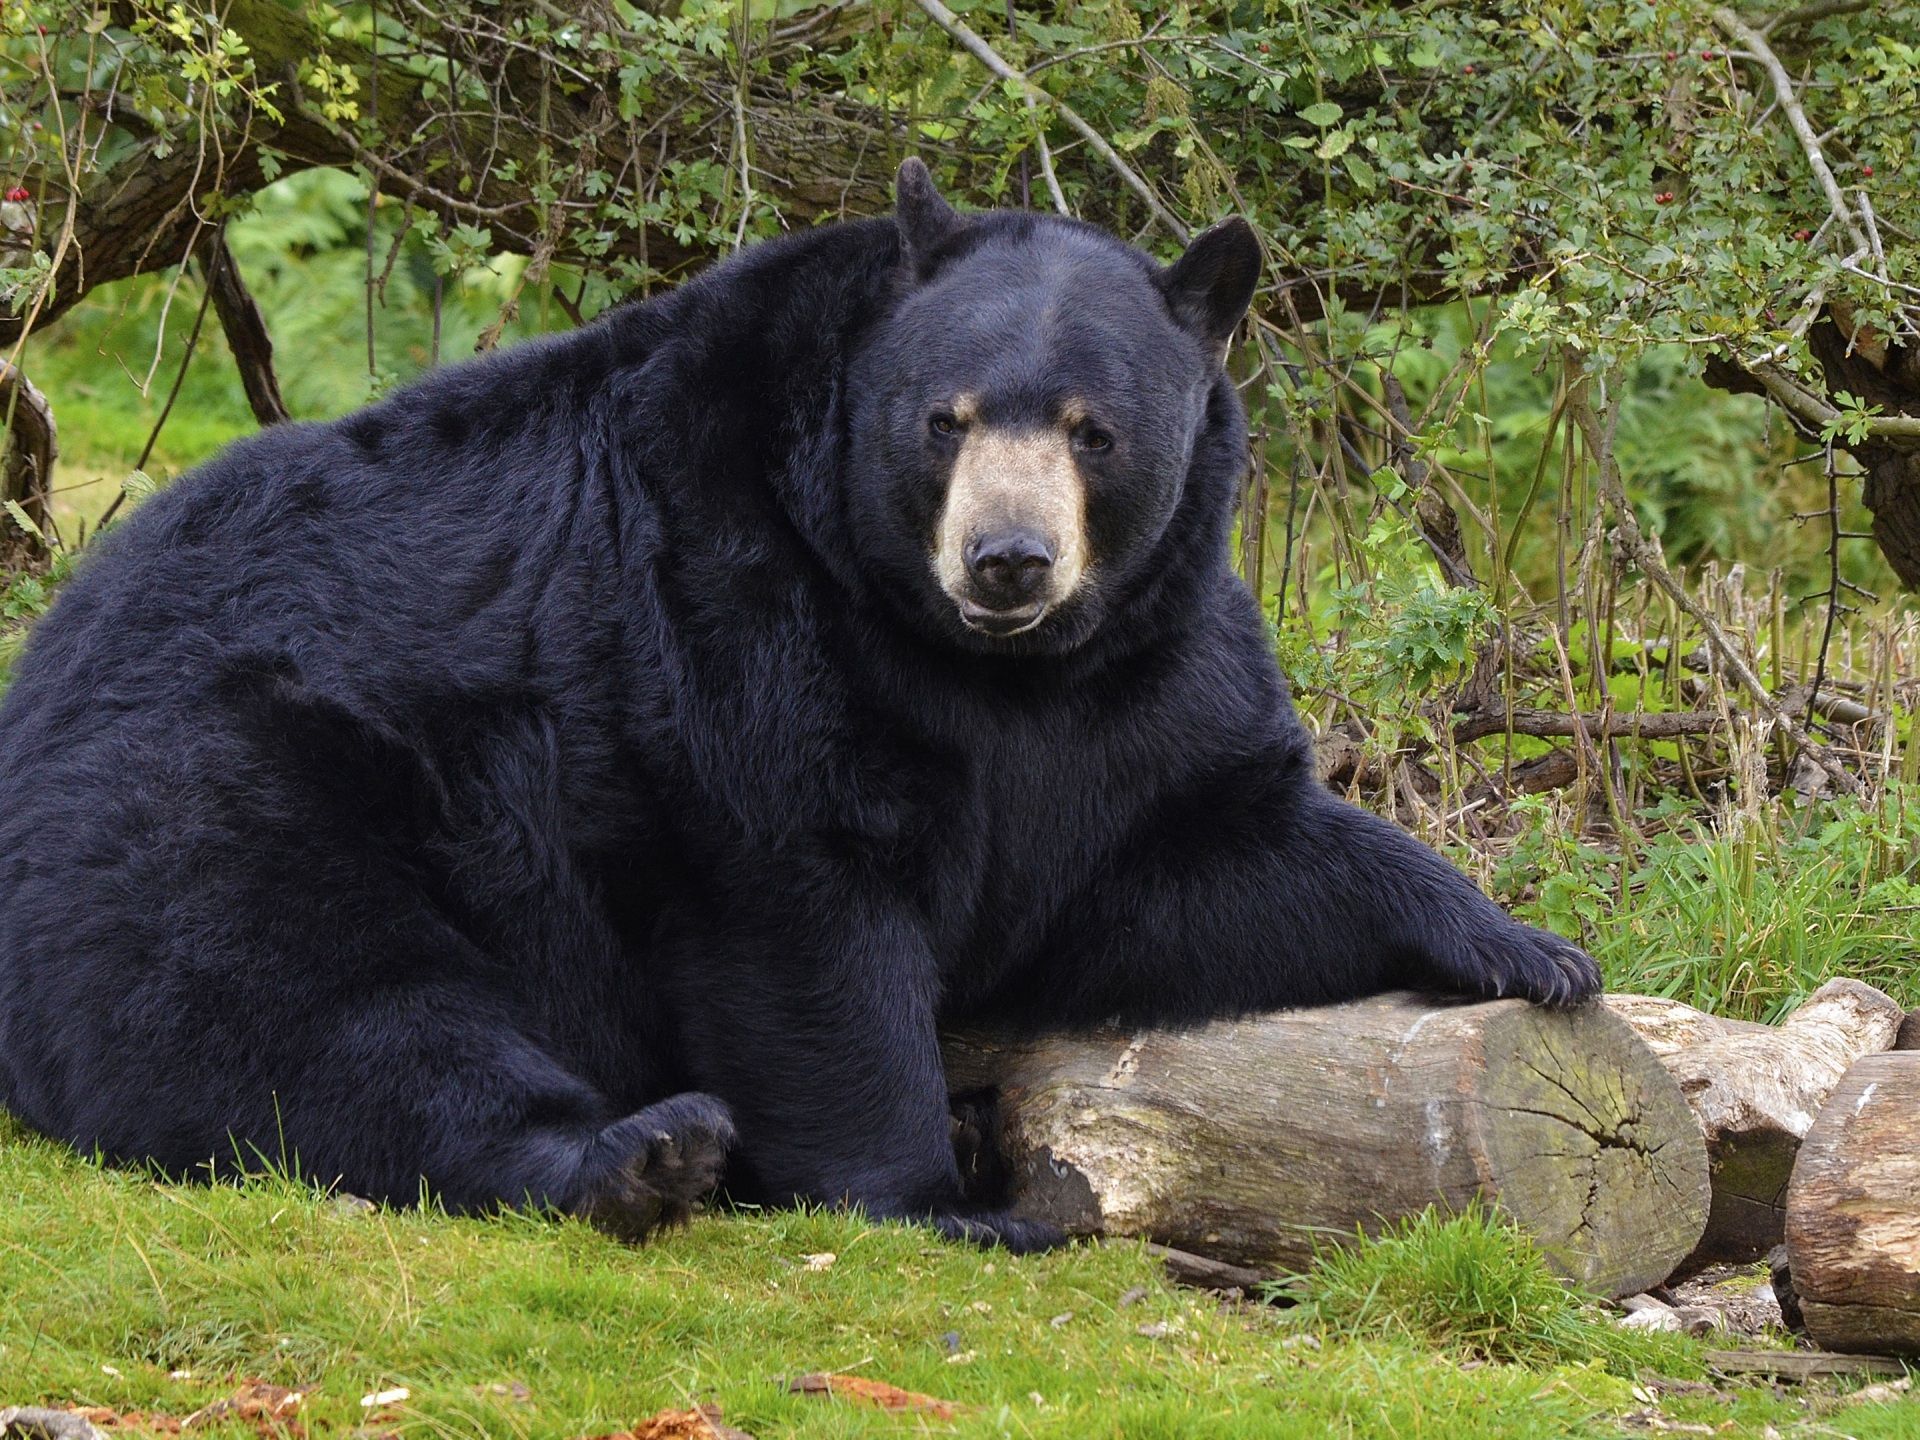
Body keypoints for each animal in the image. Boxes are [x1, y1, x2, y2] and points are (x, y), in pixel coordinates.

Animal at [0, 160, 1599, 1251]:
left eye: (1094, 430)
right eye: (946, 417)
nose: (1007, 559)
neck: (977, 663)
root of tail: (46, 662)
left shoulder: (1133, 681)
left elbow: (1176, 862)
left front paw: (1528, 949)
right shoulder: (725, 605)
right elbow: (801, 914)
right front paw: (936, 1199)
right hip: (227, 775)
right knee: (295, 994)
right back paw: (635, 1156)